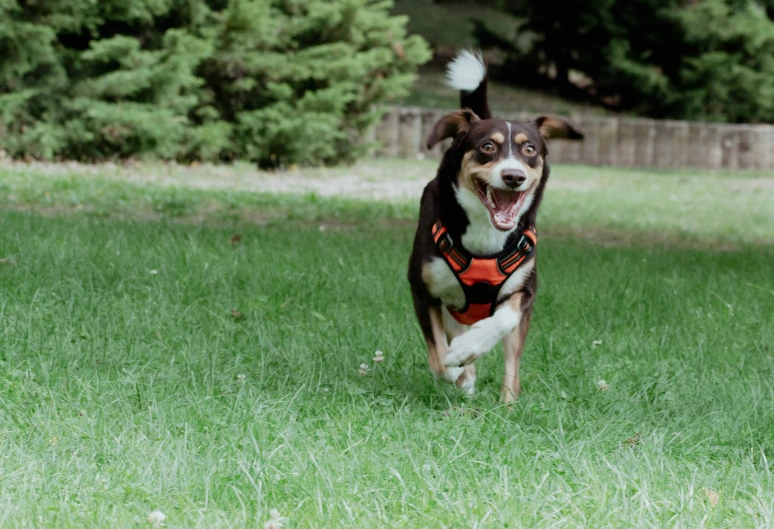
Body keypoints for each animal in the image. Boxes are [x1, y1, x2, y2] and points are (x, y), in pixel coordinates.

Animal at [410, 51, 584, 402]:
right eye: (488, 146)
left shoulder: (524, 290)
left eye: (529, 149)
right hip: (449, 305)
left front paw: (470, 348)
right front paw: (457, 369)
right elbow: (438, 354)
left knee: (511, 365)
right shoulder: (423, 290)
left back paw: (507, 402)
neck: (485, 232)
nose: (513, 176)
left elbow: (503, 320)